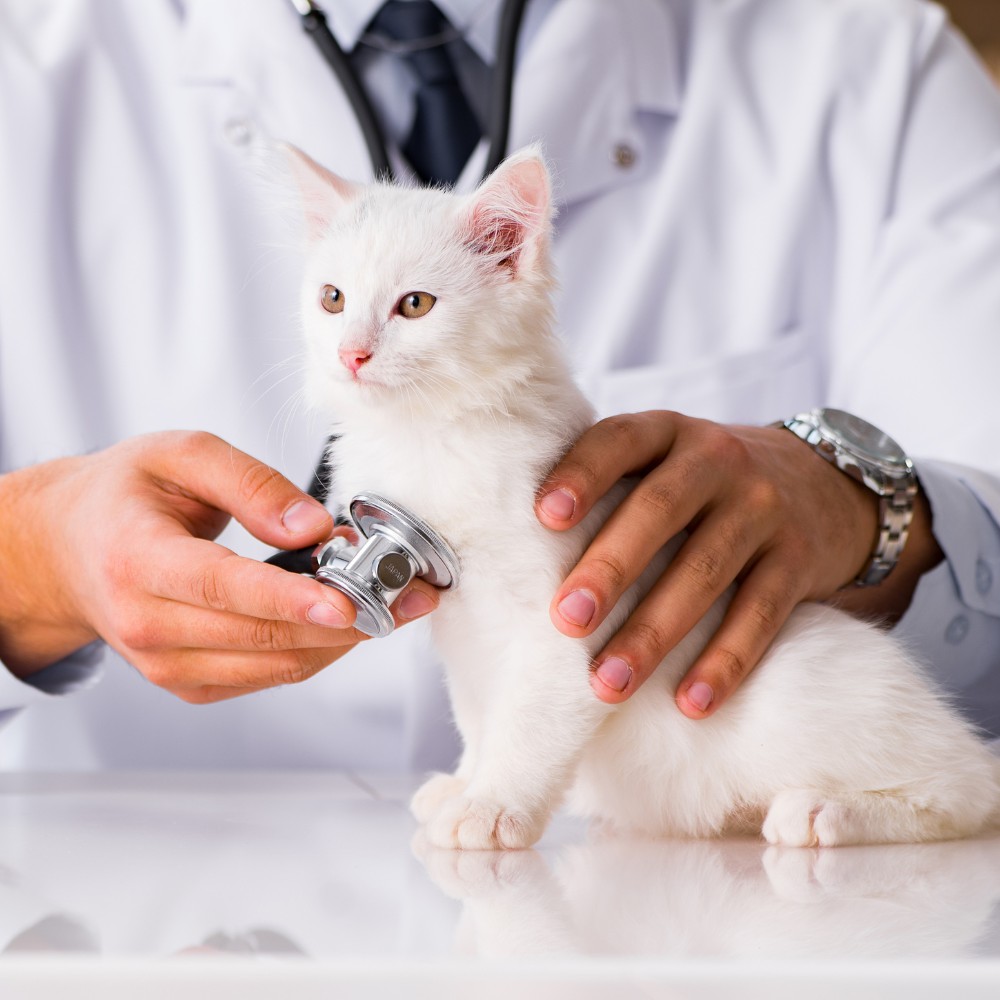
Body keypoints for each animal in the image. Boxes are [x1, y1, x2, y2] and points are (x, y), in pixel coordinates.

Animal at [286, 146, 1000, 852]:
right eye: (332, 299)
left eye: (415, 305)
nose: (352, 354)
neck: (427, 434)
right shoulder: (462, 630)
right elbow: (480, 713)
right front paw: (465, 783)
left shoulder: (566, 627)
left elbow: (528, 722)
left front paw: (491, 807)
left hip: (797, 694)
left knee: (967, 791)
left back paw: (824, 812)